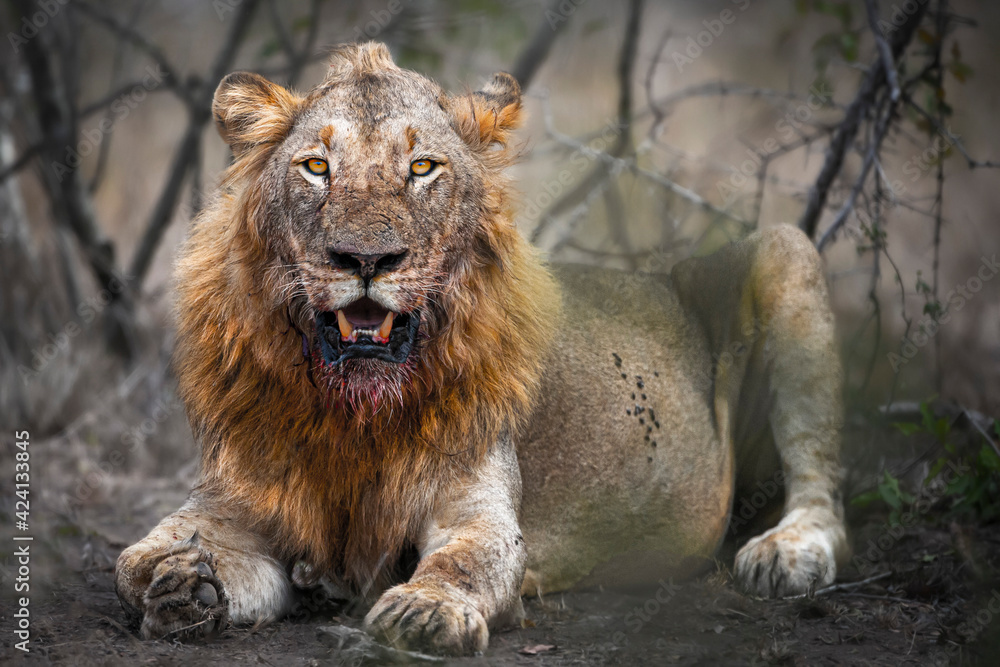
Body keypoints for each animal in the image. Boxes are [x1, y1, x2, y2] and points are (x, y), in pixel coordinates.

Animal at [115, 42, 849, 655]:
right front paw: (184, 587)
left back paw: (787, 553)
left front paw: (425, 609)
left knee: (824, 490)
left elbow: (468, 559)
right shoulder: (230, 505)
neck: (350, 415)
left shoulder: (478, 509)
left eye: (421, 167)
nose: (366, 258)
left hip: (784, 249)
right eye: (317, 167)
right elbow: (133, 562)